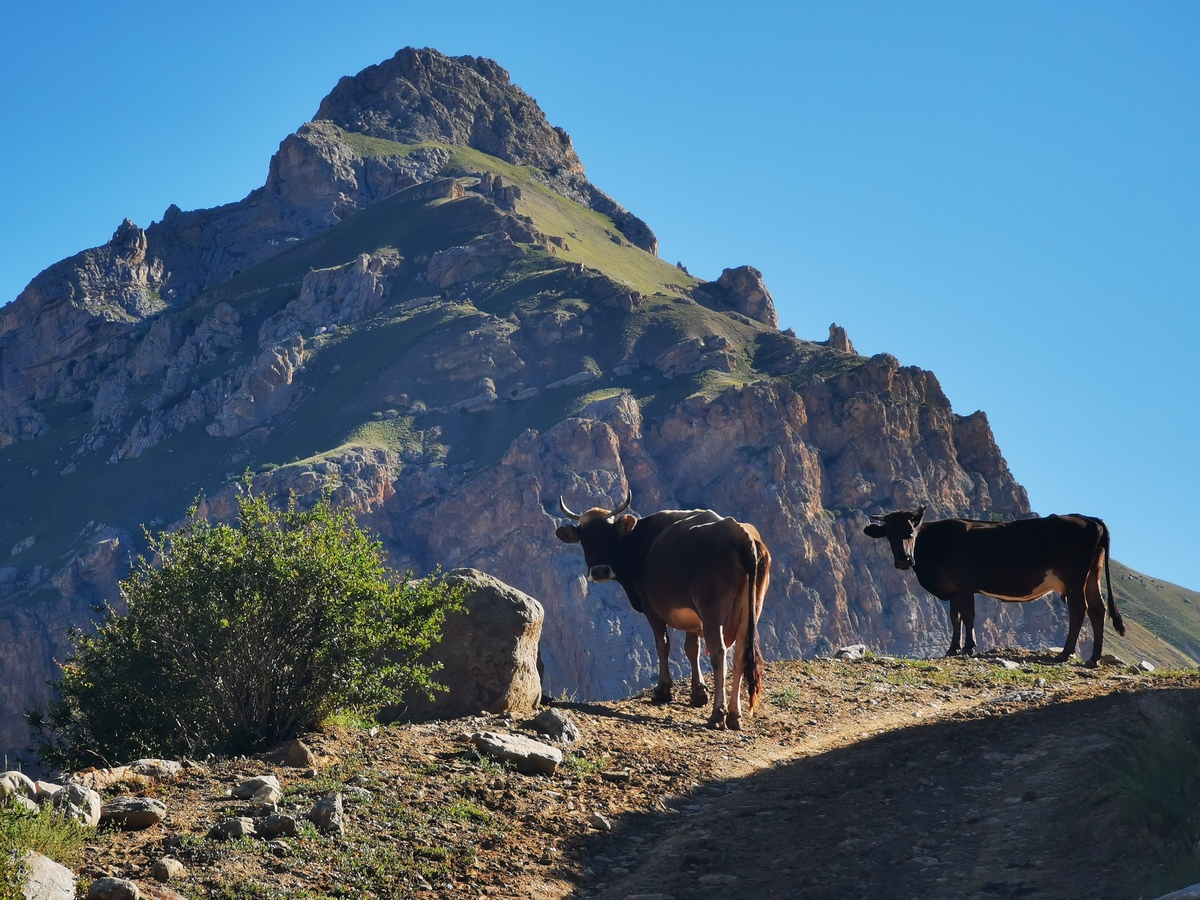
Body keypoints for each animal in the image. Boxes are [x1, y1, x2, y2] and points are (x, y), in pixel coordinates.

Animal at [552, 494, 768, 734]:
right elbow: (692, 649)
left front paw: (663, 690)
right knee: (740, 654)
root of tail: (741, 535)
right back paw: (734, 715)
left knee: (719, 652)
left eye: (608, 534)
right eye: (584, 538)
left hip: (712, 608)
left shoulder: (651, 607)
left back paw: (717, 714)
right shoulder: (692, 616)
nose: (600, 571)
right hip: (751, 608)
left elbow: (662, 644)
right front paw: (698, 693)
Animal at [864, 511, 1123, 667]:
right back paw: (1093, 658)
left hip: (1074, 579)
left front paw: (969, 647)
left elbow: (968, 615)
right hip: (1092, 576)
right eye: (889, 534)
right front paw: (953, 648)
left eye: (910, 532)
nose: (904, 560)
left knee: (1080, 610)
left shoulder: (965, 583)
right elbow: (955, 617)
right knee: (1098, 610)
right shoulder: (954, 590)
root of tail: (1088, 518)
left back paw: (1065, 653)